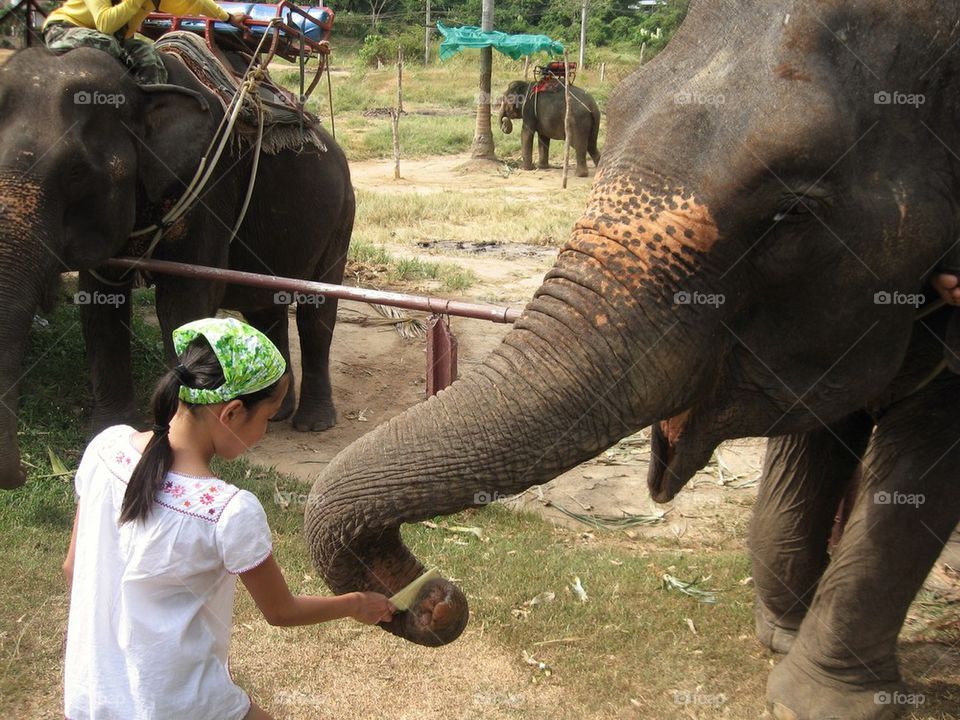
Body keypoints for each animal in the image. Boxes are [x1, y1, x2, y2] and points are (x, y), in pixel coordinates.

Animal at [0, 44, 353, 489]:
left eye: (77, 172)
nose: (18, 476)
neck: (142, 82)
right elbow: (99, 302)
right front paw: (112, 428)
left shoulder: (207, 187)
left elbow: (183, 303)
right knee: (265, 307)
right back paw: (276, 412)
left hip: (341, 216)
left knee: (315, 313)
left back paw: (313, 423)